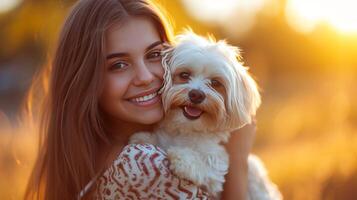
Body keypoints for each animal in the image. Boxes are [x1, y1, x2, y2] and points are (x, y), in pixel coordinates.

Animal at [129, 31, 282, 200]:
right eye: (184, 74)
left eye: (215, 83)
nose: (196, 94)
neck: (186, 129)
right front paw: (144, 137)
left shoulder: (217, 163)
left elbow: (206, 164)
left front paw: (183, 158)